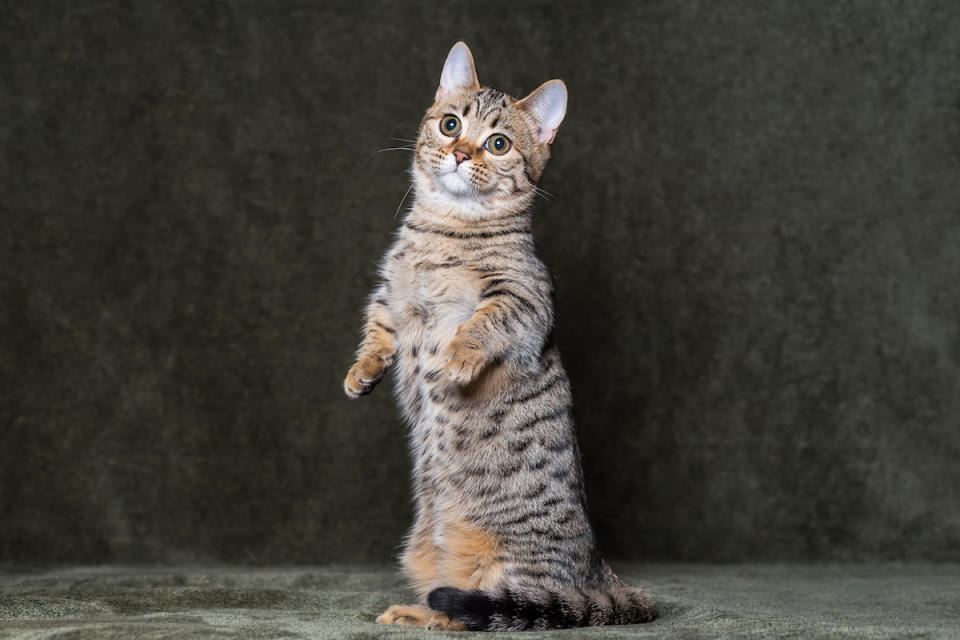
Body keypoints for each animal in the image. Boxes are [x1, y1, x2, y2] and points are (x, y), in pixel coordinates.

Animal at [342, 42, 656, 632]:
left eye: (498, 143)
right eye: (450, 124)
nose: (461, 153)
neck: (443, 230)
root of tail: (602, 575)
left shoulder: (525, 297)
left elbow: (484, 323)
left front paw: (458, 360)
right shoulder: (392, 295)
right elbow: (377, 329)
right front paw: (361, 372)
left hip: (506, 567)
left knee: (489, 608)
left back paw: (435, 616)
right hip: (423, 549)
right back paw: (413, 611)